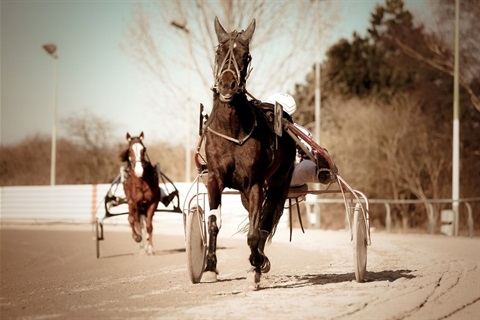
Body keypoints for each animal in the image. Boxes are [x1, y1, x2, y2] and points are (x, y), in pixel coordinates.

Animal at [202, 17, 296, 286]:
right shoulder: (215, 178)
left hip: (278, 181)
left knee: (265, 218)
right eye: (219, 51)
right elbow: (213, 222)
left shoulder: (254, 183)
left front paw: (255, 265)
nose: (227, 84)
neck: (232, 130)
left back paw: (260, 259)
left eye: (247, 55)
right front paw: (209, 267)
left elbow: (255, 231)